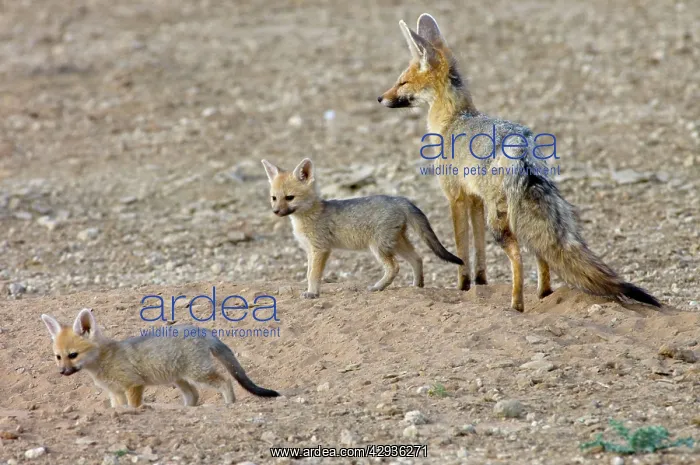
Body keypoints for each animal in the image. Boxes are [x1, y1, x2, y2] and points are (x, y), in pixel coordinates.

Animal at [41, 308, 280, 408]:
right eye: (58, 357)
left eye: (73, 355)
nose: (62, 372)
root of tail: (203, 331)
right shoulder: (115, 393)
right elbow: (119, 408)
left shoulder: (133, 386)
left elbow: (134, 406)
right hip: (180, 379)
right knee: (193, 395)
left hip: (199, 374)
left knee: (225, 381)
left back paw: (230, 404)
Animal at [261, 157, 464, 298]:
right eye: (274, 198)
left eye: (289, 198)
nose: (276, 211)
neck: (308, 216)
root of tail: (399, 199)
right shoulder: (311, 251)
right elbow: (309, 272)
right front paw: (310, 290)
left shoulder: (321, 249)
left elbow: (313, 274)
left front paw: (312, 293)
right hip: (396, 243)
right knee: (417, 258)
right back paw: (416, 286)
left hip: (379, 247)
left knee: (395, 267)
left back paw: (378, 287)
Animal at [377, 13, 661, 312]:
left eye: (402, 83)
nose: (380, 98)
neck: (454, 119)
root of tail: (522, 148)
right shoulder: (475, 200)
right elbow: (479, 249)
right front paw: (481, 284)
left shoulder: (455, 197)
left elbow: (461, 248)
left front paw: (463, 286)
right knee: (541, 254)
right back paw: (543, 295)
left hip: (500, 223)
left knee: (519, 256)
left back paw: (517, 304)